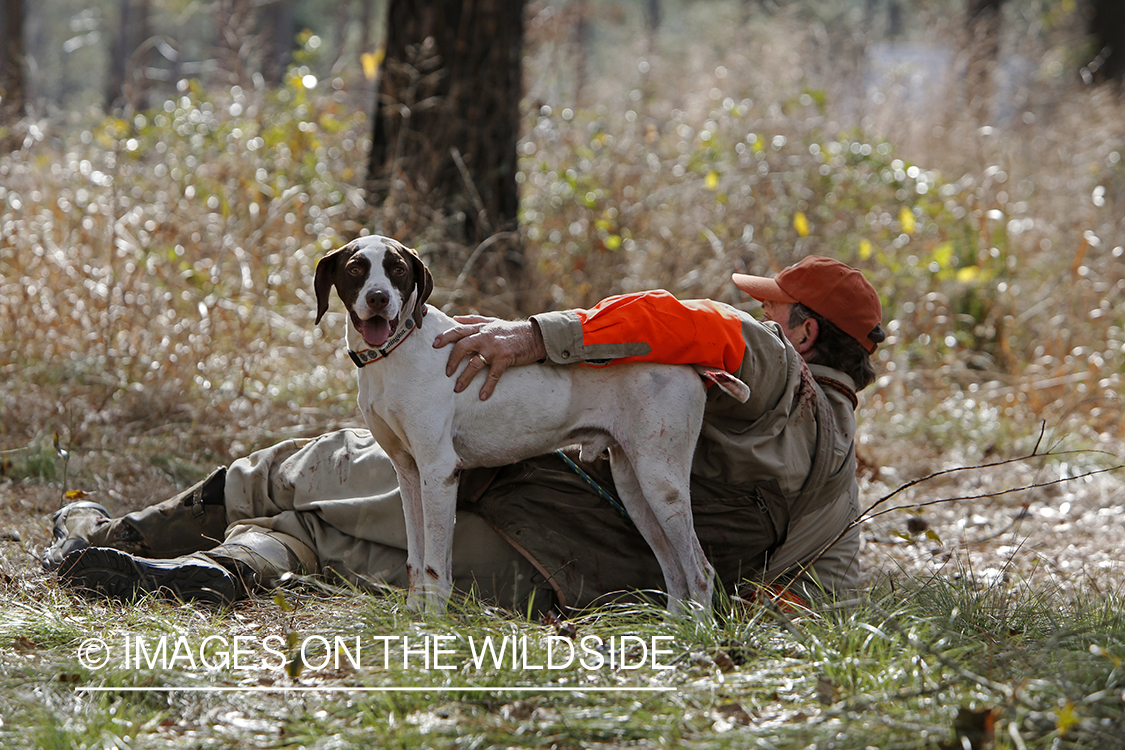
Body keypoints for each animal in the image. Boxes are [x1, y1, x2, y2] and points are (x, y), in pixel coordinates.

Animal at [312, 235, 747, 616]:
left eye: (398, 269)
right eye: (355, 269)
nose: (378, 299)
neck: (394, 354)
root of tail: (690, 363)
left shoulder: (439, 472)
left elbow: (435, 567)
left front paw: (432, 623)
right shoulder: (407, 471)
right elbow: (416, 561)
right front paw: (413, 616)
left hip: (662, 483)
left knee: (700, 572)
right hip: (634, 488)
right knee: (673, 569)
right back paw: (673, 629)